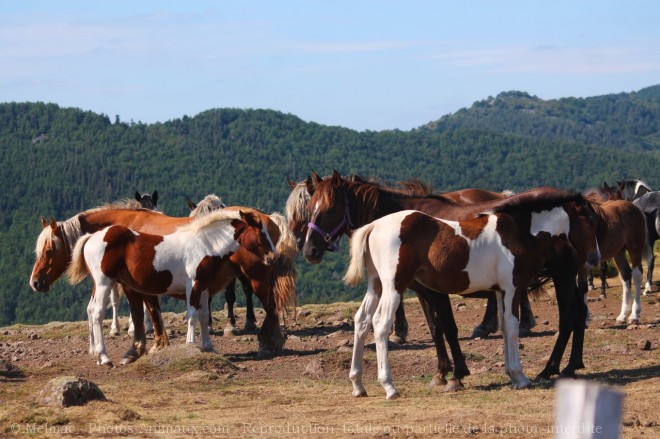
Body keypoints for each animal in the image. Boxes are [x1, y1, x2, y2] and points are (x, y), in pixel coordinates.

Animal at [342, 191, 600, 400]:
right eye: (588, 221)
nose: (595, 258)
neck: (517, 232)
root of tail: (374, 226)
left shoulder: (500, 291)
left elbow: (504, 327)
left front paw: (511, 374)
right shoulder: (512, 288)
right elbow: (512, 326)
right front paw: (520, 377)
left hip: (376, 285)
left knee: (362, 321)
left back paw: (358, 385)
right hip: (393, 286)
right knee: (381, 324)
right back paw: (389, 387)